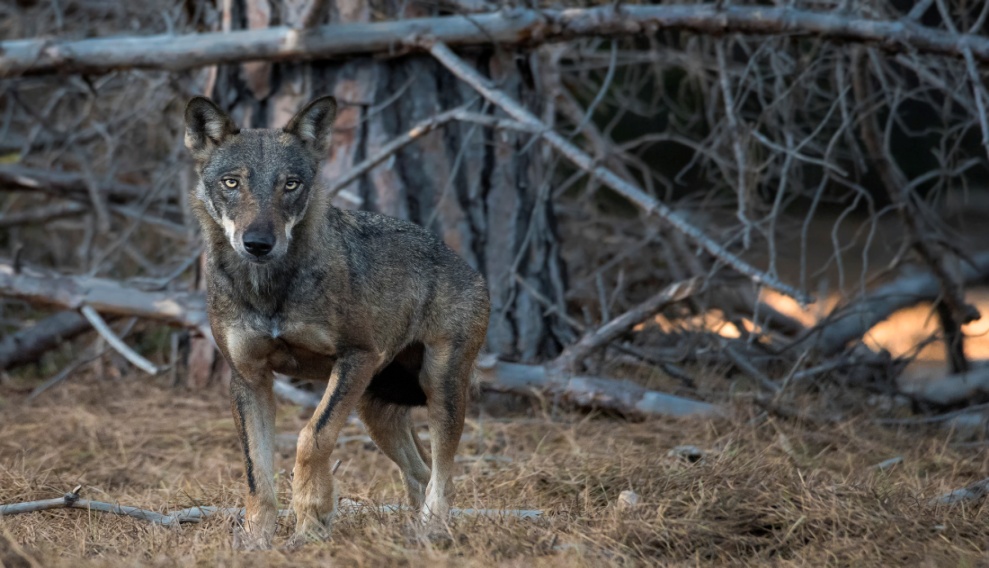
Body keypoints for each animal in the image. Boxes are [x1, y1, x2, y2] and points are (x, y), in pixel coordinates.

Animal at [183, 95, 492, 548]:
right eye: (232, 183)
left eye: (290, 184)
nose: (258, 243)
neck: (270, 290)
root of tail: (467, 265)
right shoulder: (248, 378)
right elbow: (256, 472)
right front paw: (256, 540)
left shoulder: (356, 357)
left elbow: (312, 439)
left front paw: (311, 523)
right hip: (374, 409)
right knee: (420, 470)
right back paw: (412, 534)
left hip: (438, 388)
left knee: (444, 475)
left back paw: (432, 530)